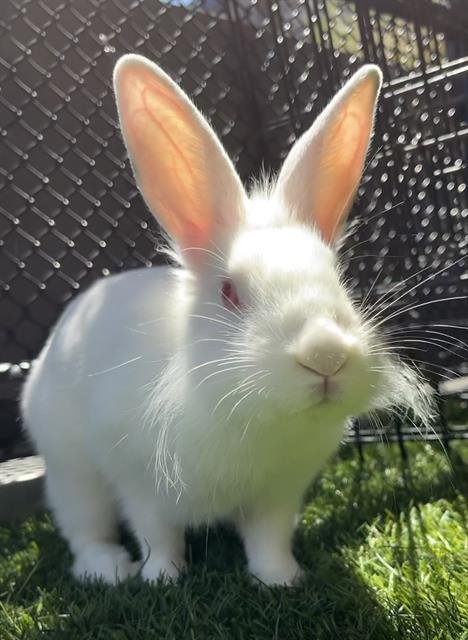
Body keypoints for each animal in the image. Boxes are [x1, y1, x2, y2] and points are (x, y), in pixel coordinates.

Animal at [21, 54, 432, 587]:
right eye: (230, 292)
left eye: (338, 279)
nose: (325, 354)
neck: (254, 416)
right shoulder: (140, 483)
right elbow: (158, 536)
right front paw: (162, 579)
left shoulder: (279, 494)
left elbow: (268, 539)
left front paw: (281, 579)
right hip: (73, 472)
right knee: (85, 529)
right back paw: (110, 570)